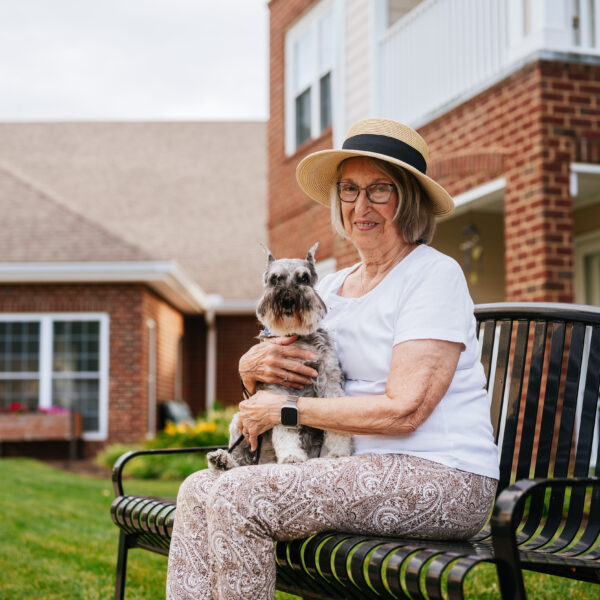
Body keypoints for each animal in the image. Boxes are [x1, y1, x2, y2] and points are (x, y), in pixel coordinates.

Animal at [209, 241, 354, 472]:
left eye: (304, 278)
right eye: (274, 279)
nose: (287, 299)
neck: (294, 335)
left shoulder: (329, 379)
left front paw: (339, 451)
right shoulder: (276, 390)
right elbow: (285, 431)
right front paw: (291, 455)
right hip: (240, 420)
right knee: (240, 455)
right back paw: (223, 460)